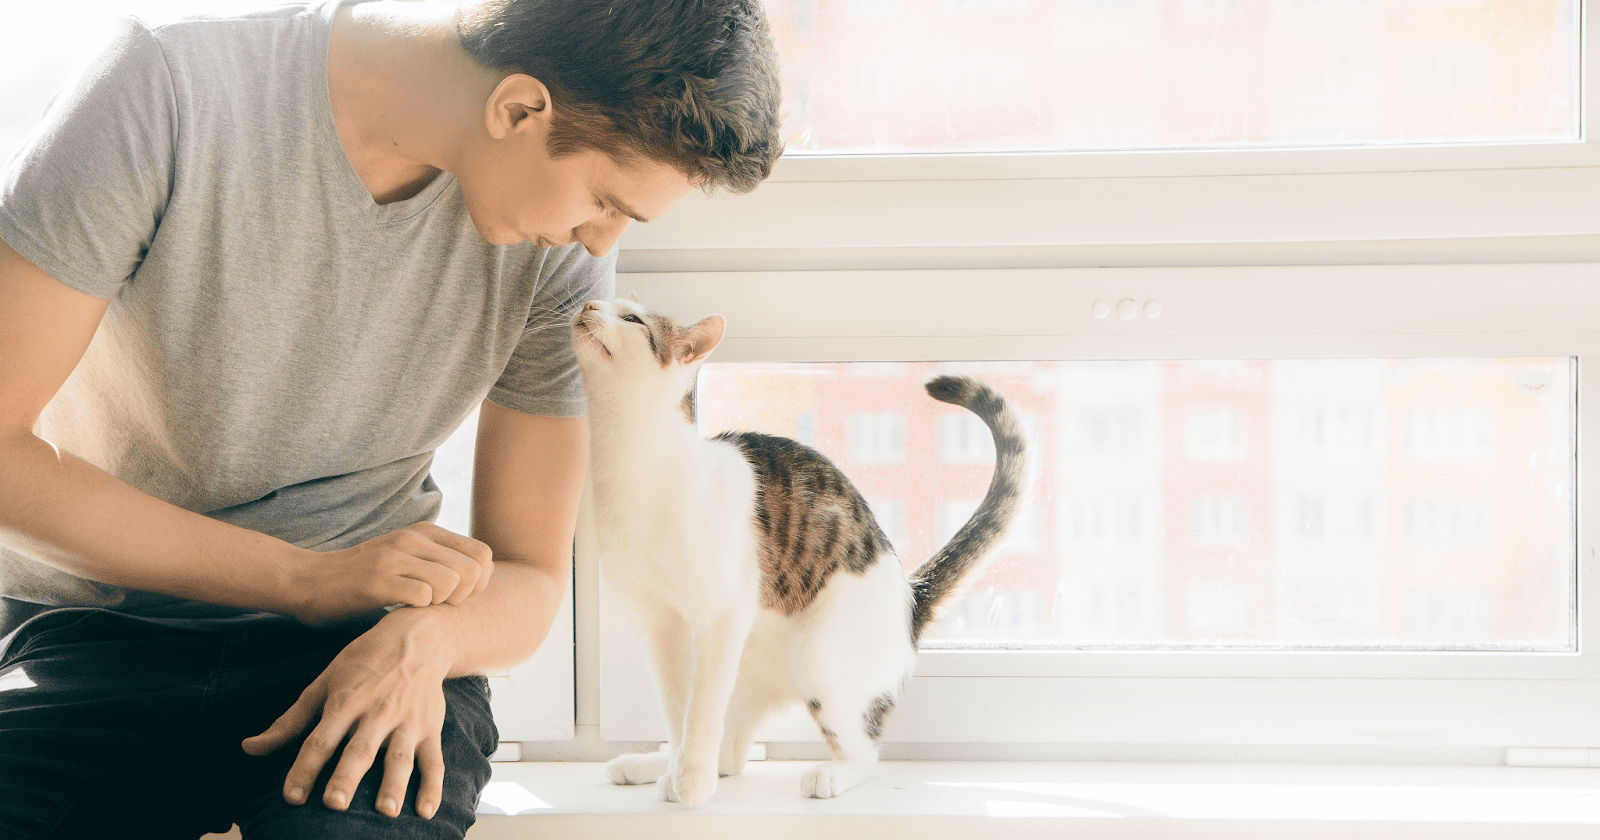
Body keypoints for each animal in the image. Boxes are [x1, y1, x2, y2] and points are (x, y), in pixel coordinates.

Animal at [572, 297, 1024, 803]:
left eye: (632, 319)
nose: (589, 302)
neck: (631, 465)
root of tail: (912, 596)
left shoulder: (722, 613)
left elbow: (700, 711)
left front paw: (688, 782)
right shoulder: (659, 626)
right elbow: (678, 711)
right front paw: (677, 769)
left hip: (818, 656)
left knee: (863, 753)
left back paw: (830, 774)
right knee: (729, 755)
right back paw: (651, 764)